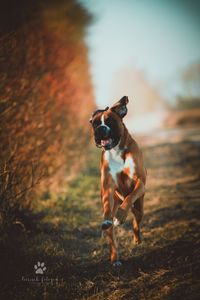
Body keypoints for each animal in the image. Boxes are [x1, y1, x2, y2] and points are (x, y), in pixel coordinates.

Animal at [90, 95, 146, 264]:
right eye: (95, 123)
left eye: (110, 121)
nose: (100, 129)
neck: (116, 150)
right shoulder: (107, 187)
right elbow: (108, 213)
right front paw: (109, 220)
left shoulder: (140, 182)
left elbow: (129, 197)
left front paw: (120, 216)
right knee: (111, 231)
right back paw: (115, 258)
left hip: (140, 203)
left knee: (136, 218)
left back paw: (137, 239)